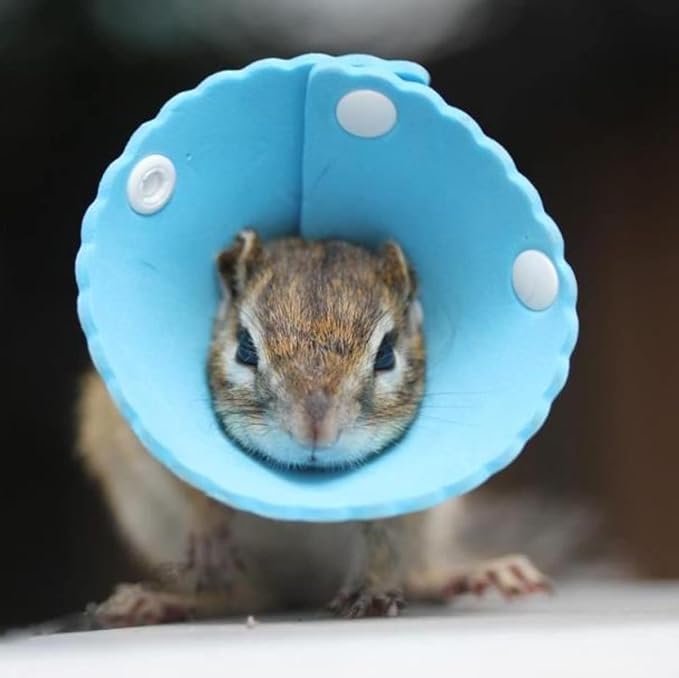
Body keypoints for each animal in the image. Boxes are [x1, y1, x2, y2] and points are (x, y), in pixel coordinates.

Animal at [78, 230, 549, 627]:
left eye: (386, 354)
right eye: (245, 348)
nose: (316, 429)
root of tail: (305, 591)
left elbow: (384, 538)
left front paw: (372, 590)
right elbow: (194, 490)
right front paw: (210, 532)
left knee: (414, 573)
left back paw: (473, 573)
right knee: (246, 598)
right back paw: (159, 602)